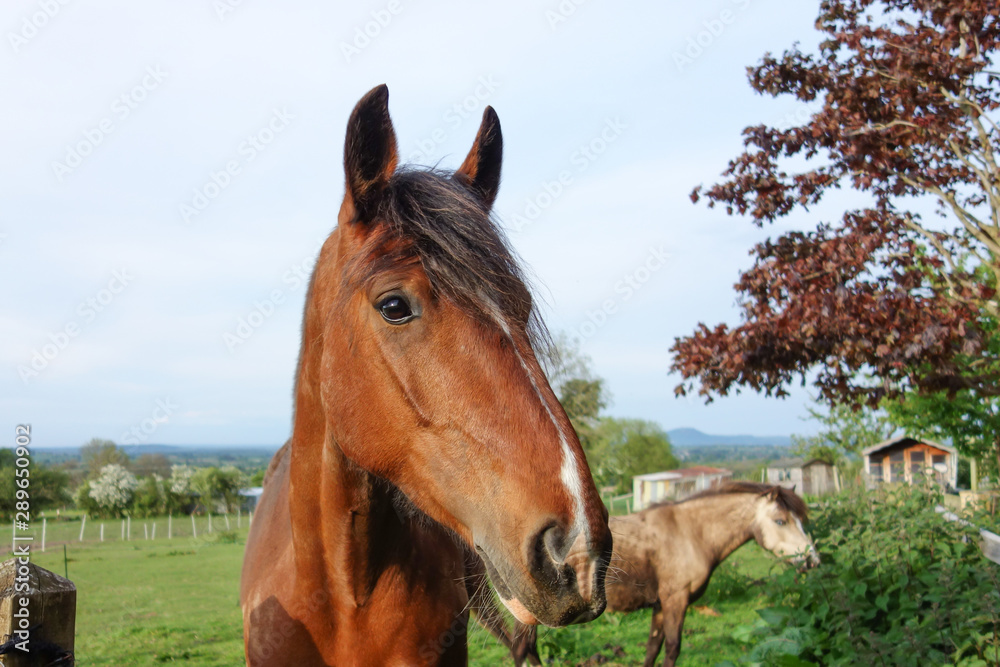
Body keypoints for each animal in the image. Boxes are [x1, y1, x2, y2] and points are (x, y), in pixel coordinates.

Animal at [505, 482, 820, 667]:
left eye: (800, 520)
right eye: (780, 521)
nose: (813, 560)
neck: (690, 533)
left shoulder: (659, 605)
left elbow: (652, 648)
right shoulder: (675, 601)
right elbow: (672, 648)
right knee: (522, 649)